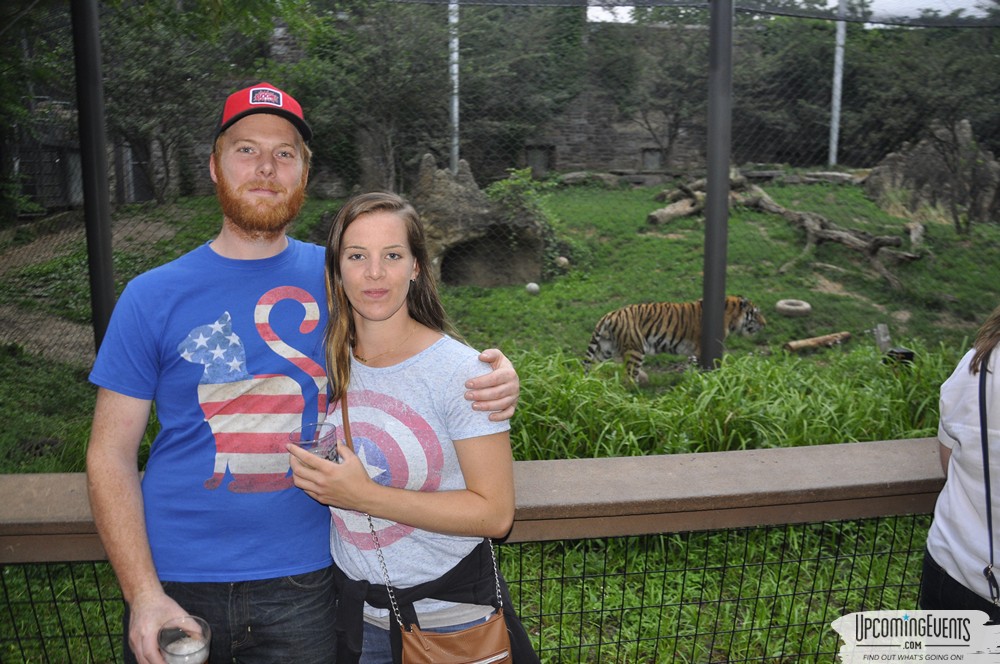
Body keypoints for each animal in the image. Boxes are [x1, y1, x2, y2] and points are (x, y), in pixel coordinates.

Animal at [584, 296, 764, 384]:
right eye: (755, 313)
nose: (765, 324)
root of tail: (609, 315)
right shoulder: (703, 346)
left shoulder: (694, 351)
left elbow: (692, 366)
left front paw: (690, 381)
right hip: (635, 350)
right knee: (629, 378)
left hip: (604, 349)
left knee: (592, 367)